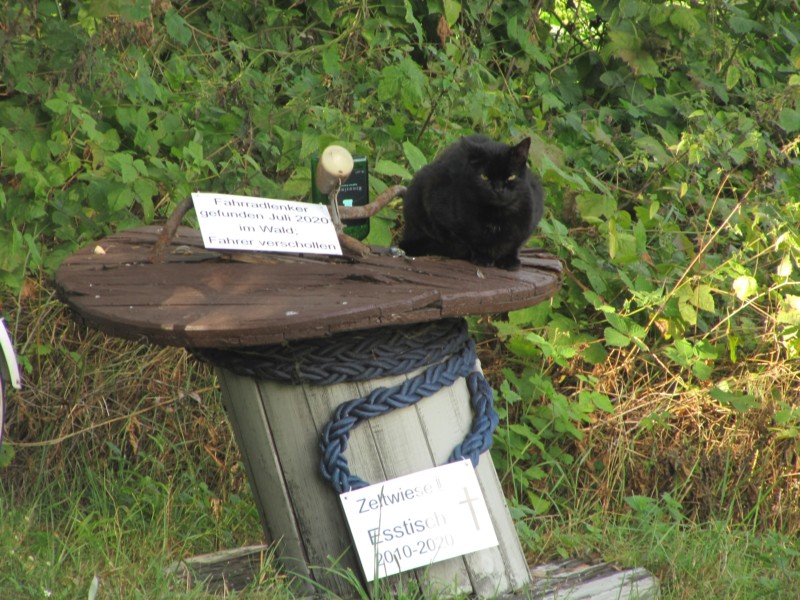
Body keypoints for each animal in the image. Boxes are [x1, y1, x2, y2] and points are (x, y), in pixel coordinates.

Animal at [398, 135, 544, 270]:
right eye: (484, 176)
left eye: (511, 176)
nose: (498, 189)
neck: (496, 215)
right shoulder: (437, 208)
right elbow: (469, 240)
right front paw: (482, 257)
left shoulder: (529, 220)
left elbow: (514, 244)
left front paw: (508, 260)